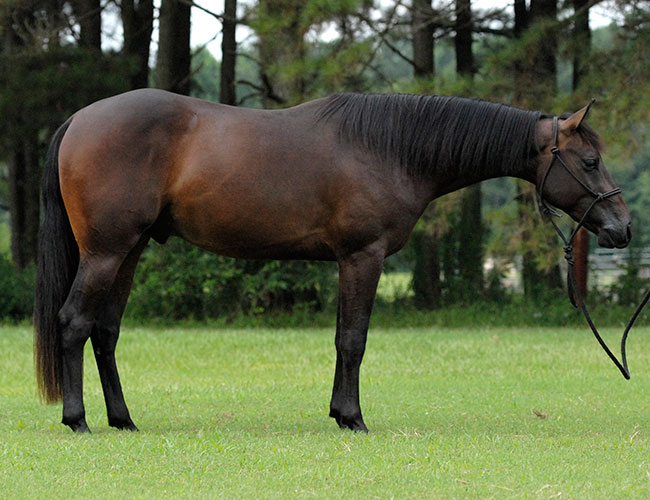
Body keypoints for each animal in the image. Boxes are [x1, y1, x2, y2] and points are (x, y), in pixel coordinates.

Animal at [33, 91, 632, 434]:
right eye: (589, 160)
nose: (622, 228)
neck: (391, 148)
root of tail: (79, 120)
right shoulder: (362, 257)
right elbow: (353, 339)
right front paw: (353, 418)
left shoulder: (352, 261)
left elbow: (345, 338)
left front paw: (339, 413)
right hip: (106, 253)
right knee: (74, 323)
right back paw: (78, 421)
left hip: (129, 252)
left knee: (105, 333)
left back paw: (123, 420)